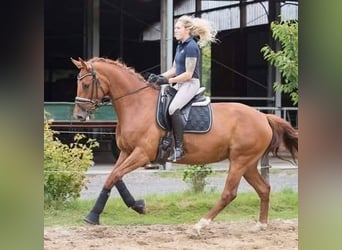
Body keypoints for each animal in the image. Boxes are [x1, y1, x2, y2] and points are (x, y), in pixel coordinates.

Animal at [70, 57, 296, 235]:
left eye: (87, 84)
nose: (79, 116)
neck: (136, 104)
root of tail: (263, 116)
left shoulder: (142, 154)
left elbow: (113, 177)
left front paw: (93, 216)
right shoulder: (126, 152)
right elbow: (114, 177)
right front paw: (138, 206)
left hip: (240, 161)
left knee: (229, 194)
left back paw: (199, 225)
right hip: (248, 164)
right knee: (264, 188)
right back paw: (261, 225)